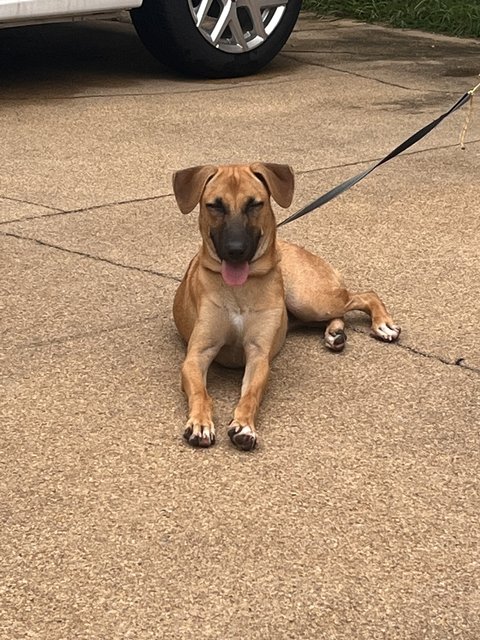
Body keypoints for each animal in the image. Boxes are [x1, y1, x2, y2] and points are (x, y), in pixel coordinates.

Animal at [171, 164, 400, 450]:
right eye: (215, 205)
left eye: (254, 204)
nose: (236, 250)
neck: (239, 290)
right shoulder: (197, 355)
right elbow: (201, 393)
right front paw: (200, 423)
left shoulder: (258, 356)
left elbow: (251, 394)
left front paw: (245, 426)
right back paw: (335, 334)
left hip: (307, 298)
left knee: (364, 295)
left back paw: (382, 324)